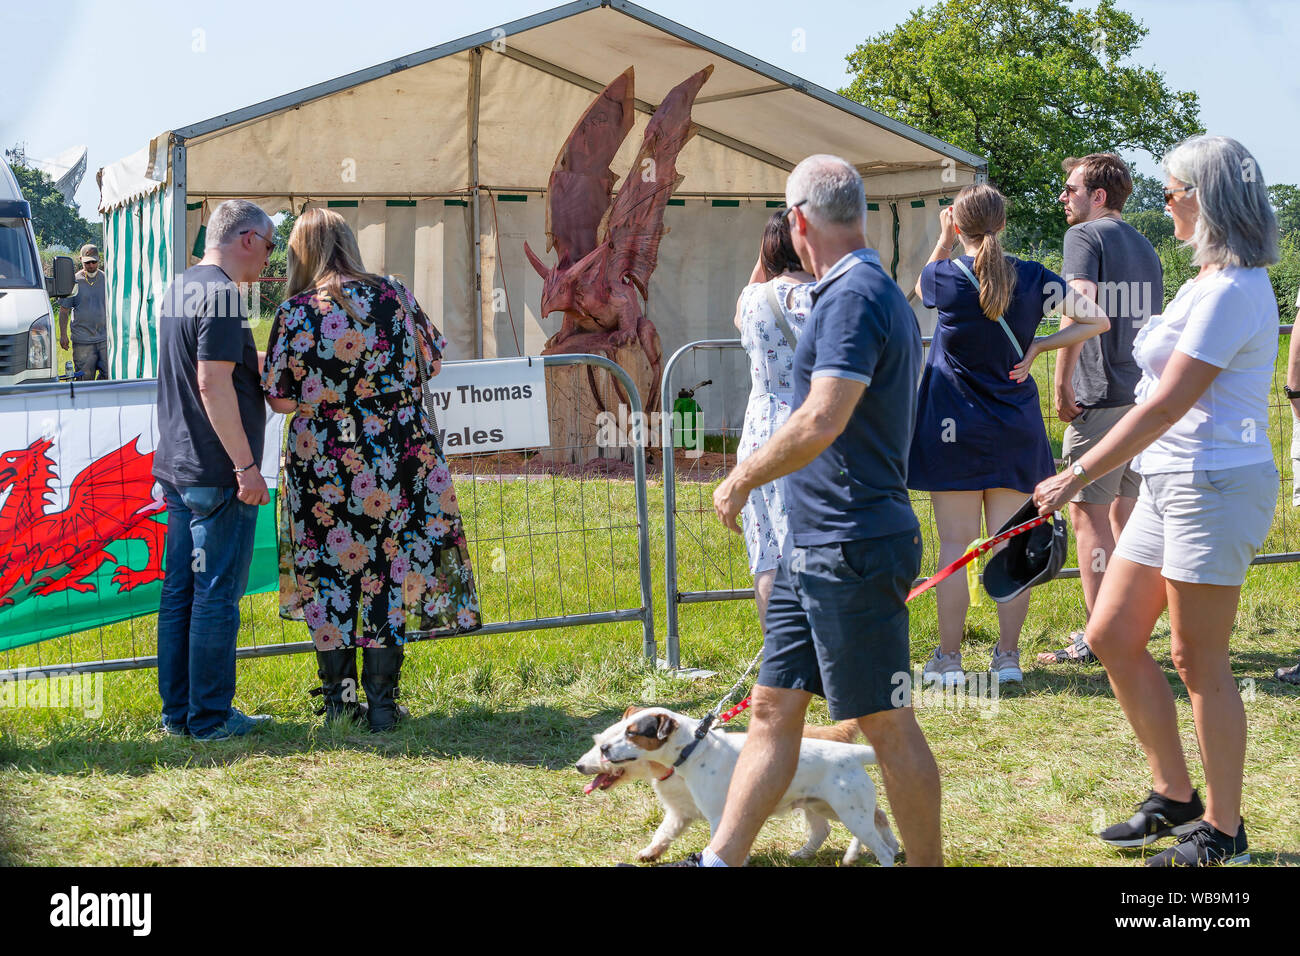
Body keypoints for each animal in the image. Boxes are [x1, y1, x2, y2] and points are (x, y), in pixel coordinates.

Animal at [574, 702, 899, 868]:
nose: (603, 750)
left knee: (880, 846)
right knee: (858, 823)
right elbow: (664, 832)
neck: (697, 750)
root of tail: (851, 752)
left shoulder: (719, 816)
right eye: (616, 732)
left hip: (850, 813)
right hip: (827, 807)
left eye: (632, 733)